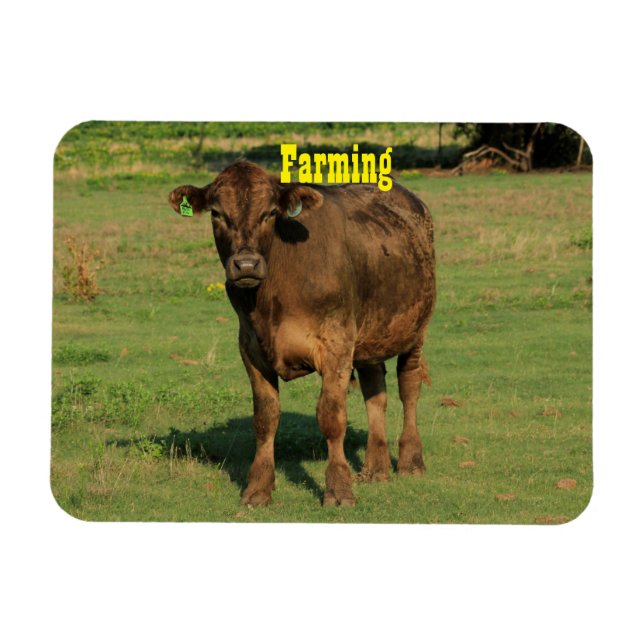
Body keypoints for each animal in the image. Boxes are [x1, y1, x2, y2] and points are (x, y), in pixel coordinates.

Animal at [168, 160, 436, 507]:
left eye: (270, 213)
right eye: (216, 213)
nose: (246, 264)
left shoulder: (336, 345)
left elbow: (332, 418)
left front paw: (338, 489)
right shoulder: (251, 348)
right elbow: (265, 418)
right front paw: (258, 489)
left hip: (416, 329)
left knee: (409, 387)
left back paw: (410, 460)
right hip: (370, 333)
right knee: (375, 391)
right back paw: (375, 468)